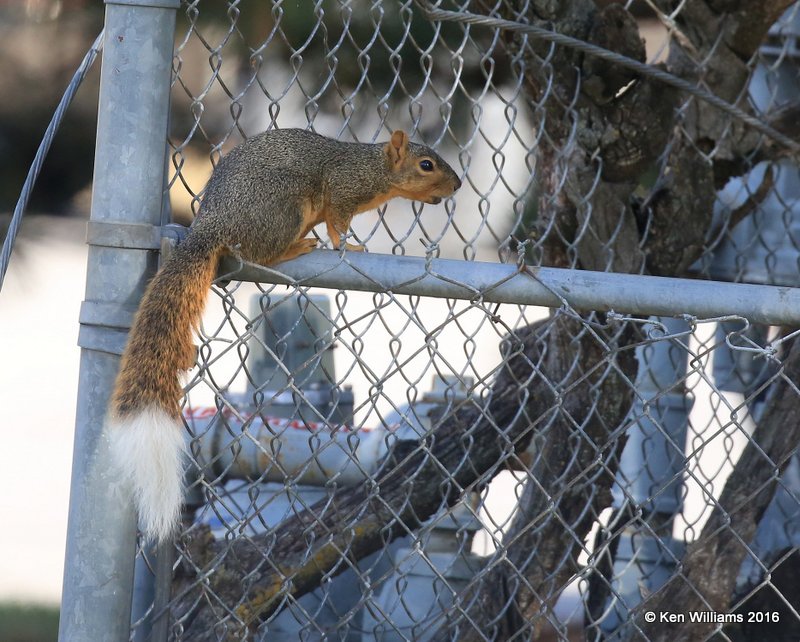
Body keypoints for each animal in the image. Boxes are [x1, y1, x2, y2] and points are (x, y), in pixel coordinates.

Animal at [106, 127, 460, 544]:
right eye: (427, 165)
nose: (457, 184)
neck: (374, 168)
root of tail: (212, 224)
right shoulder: (342, 189)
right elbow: (338, 224)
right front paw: (350, 244)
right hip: (284, 206)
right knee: (260, 255)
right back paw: (298, 247)